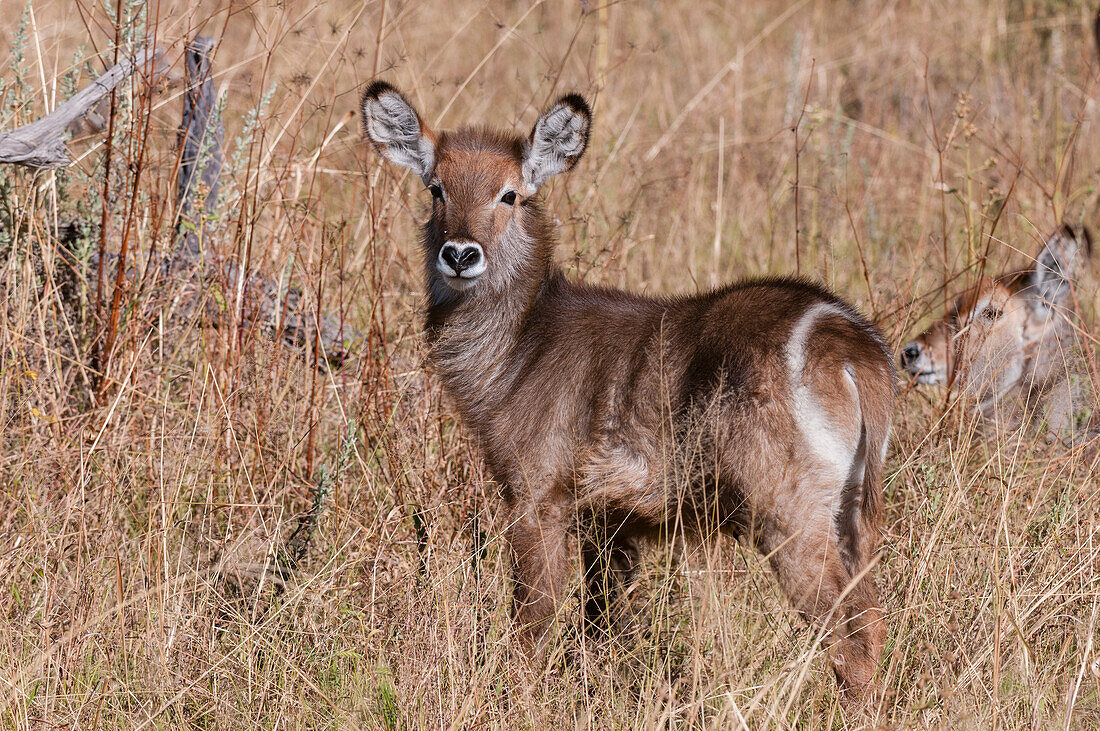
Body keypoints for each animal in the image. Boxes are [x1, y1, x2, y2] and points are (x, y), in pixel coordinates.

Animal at [365, 81, 897, 703]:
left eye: (510, 194)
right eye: (436, 188)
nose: (459, 254)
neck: (519, 349)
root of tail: (850, 342)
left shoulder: (537, 494)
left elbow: (534, 621)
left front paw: (517, 697)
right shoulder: (608, 521)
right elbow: (604, 622)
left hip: (789, 509)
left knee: (852, 634)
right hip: (852, 511)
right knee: (873, 618)